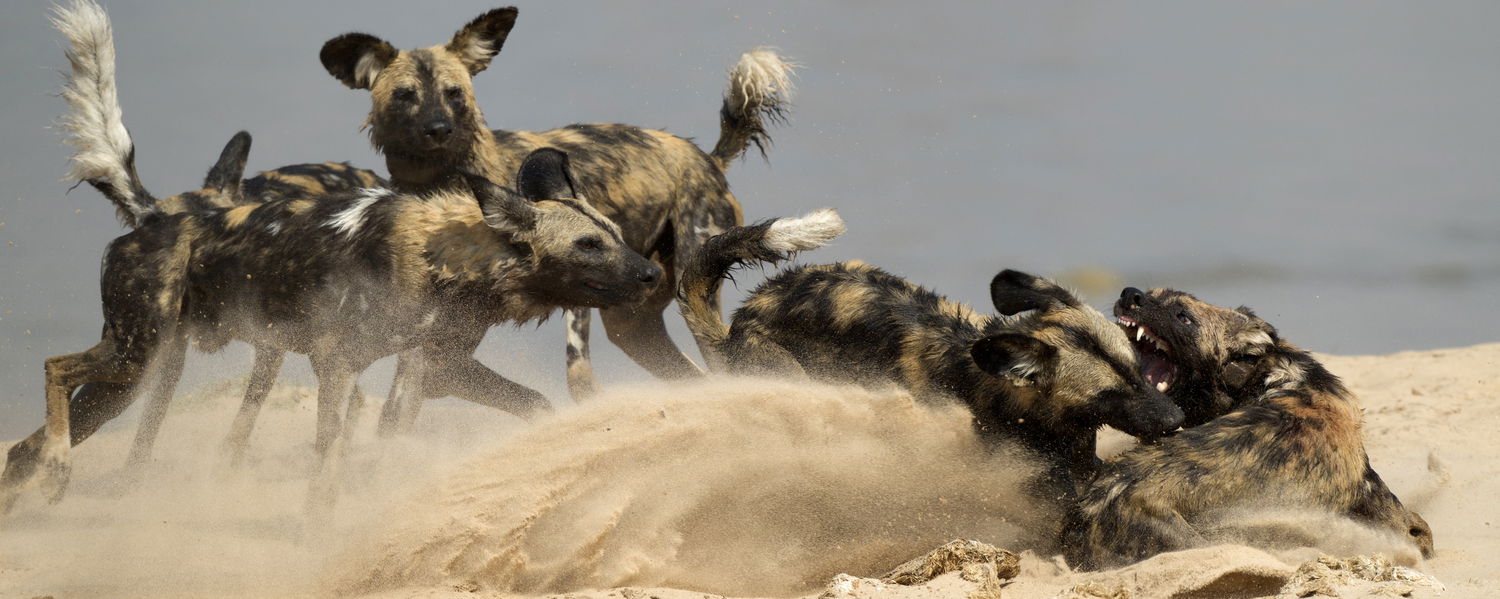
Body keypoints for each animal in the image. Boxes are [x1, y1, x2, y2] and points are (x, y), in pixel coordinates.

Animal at [319, 5, 798, 414]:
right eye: (405, 95)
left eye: (454, 93)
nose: (439, 129)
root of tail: (708, 158)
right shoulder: (432, 344)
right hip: (630, 323)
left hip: (682, 278)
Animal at [1062, 291, 1434, 573]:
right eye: (1152, 295)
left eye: (1183, 316)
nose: (1131, 295)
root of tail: (1112, 492)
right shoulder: (1376, 498)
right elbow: (1418, 529)